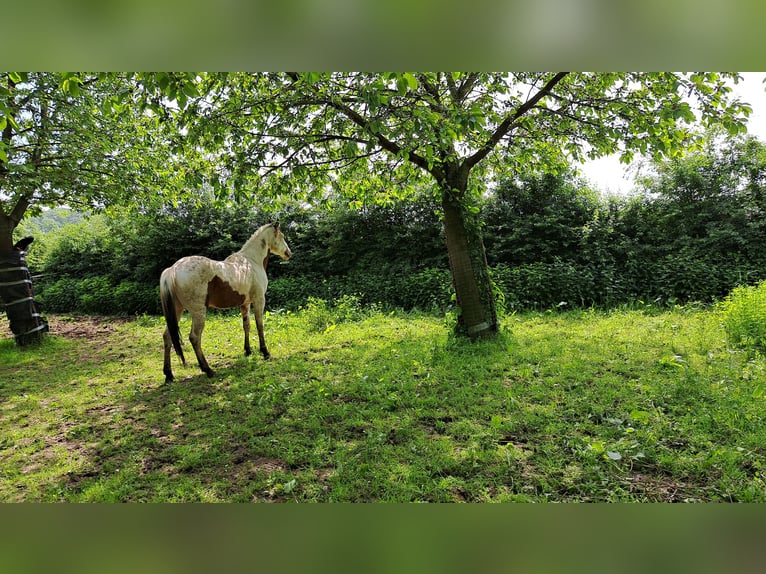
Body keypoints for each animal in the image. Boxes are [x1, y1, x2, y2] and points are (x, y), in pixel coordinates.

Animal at [160, 223, 292, 384]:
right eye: (282, 236)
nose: (289, 253)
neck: (252, 262)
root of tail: (172, 269)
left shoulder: (245, 304)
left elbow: (246, 326)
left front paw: (248, 351)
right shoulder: (259, 300)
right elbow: (260, 326)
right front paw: (265, 352)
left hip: (177, 311)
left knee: (167, 337)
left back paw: (169, 375)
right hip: (198, 312)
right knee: (194, 338)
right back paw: (208, 370)